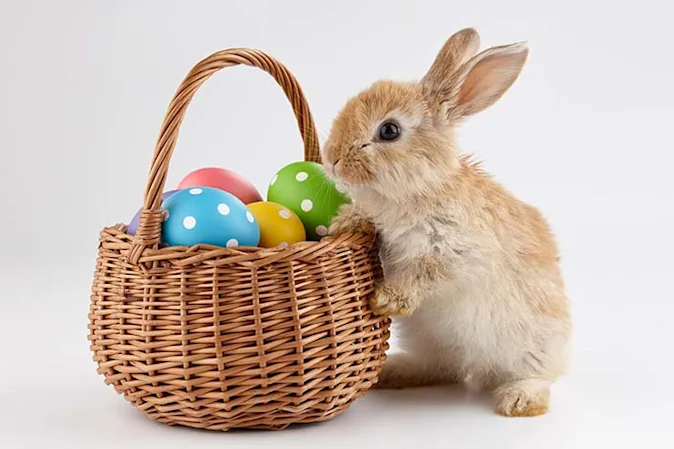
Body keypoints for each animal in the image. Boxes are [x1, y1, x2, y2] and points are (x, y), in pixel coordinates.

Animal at [322, 28, 571, 417]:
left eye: (389, 130)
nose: (331, 158)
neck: (417, 188)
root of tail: (479, 368)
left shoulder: (455, 251)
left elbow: (425, 273)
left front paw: (386, 299)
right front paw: (345, 223)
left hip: (531, 347)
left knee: (539, 376)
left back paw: (518, 400)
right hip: (430, 341)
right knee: (442, 369)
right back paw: (393, 373)